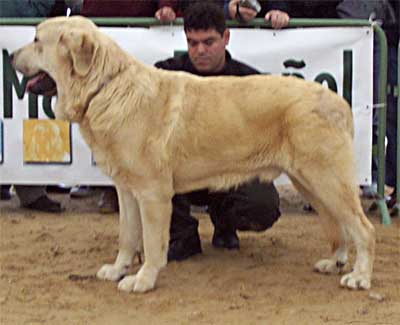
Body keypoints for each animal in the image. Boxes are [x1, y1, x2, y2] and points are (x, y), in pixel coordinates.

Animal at [11, 16, 376, 292]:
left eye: (37, 40)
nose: (12, 54)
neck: (105, 87)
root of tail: (340, 101)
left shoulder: (153, 193)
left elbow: (152, 243)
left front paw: (143, 279)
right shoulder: (127, 190)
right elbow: (127, 237)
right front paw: (118, 270)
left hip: (327, 180)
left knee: (363, 228)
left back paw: (359, 276)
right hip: (311, 183)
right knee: (339, 225)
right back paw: (335, 261)